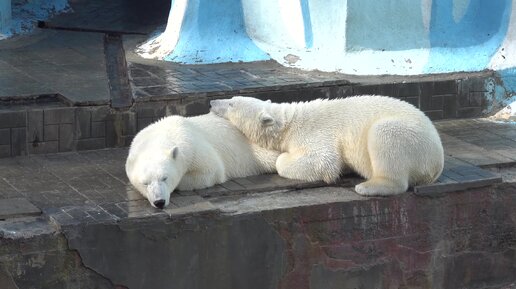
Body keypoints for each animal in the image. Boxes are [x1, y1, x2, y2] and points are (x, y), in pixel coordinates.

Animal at [125, 111, 278, 208]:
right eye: (145, 183)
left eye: (165, 178)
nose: (159, 202)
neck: (160, 136)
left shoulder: (193, 146)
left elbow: (212, 170)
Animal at [210, 95, 444, 196]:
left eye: (231, 103)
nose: (212, 102)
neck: (288, 122)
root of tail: (437, 163)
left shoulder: (315, 133)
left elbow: (323, 160)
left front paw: (283, 156)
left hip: (411, 138)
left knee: (384, 134)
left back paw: (368, 186)